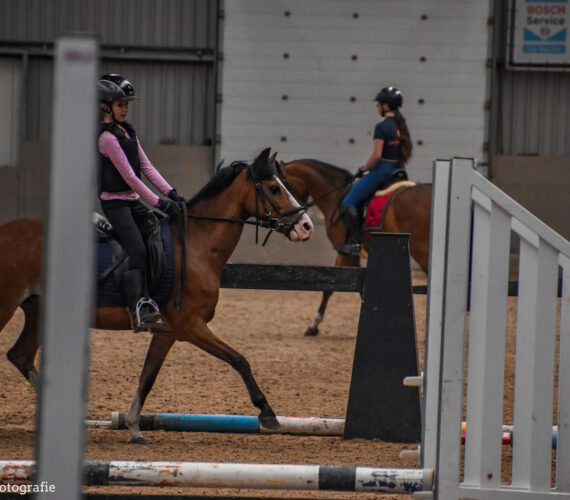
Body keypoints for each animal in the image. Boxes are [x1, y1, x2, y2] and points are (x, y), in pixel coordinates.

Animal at [0, 146, 312, 444]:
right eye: (274, 188)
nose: (306, 226)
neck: (196, 245)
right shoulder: (191, 326)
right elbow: (239, 360)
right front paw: (268, 414)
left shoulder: (167, 332)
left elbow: (147, 378)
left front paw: (134, 429)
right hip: (7, 306)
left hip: (38, 311)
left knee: (21, 355)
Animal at [278, 159, 428, 336]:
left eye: (283, 186)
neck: (335, 196)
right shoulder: (343, 250)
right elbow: (331, 288)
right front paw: (314, 325)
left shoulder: (348, 252)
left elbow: (350, 287)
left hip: (421, 250)